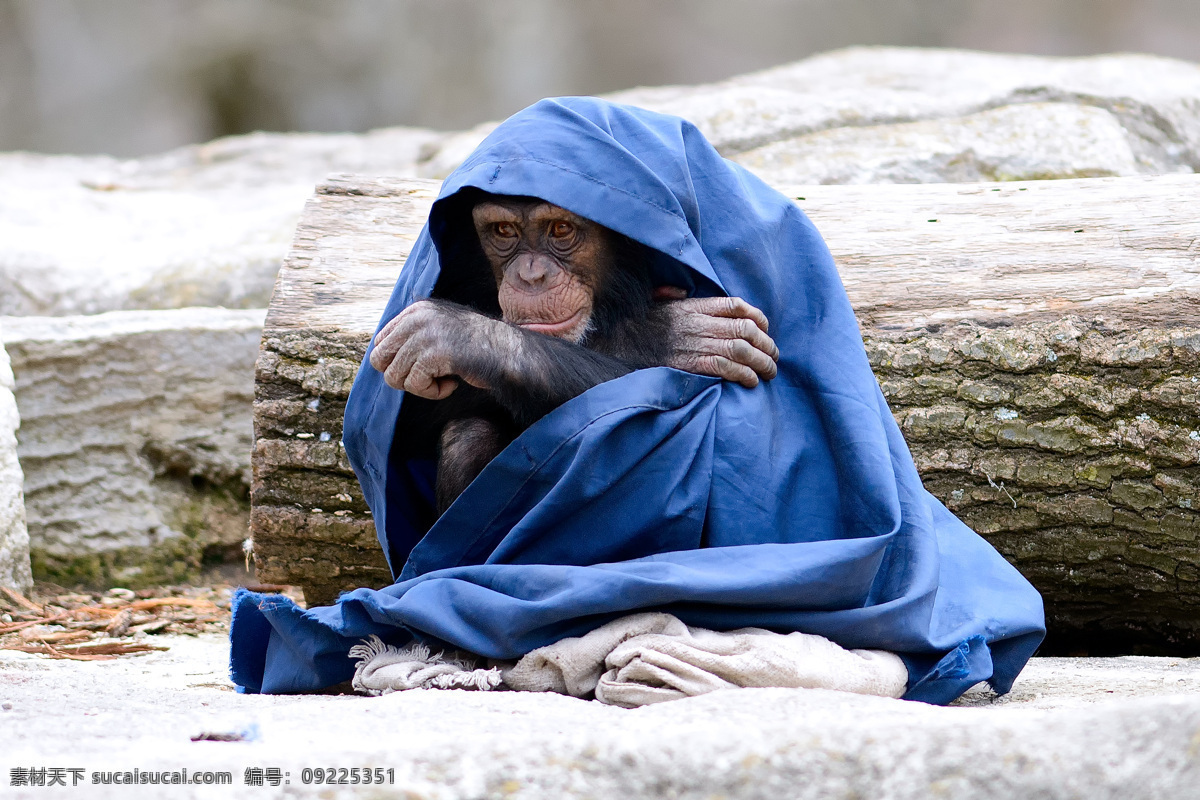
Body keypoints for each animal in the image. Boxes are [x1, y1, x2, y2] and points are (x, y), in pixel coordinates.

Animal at [367, 194, 777, 520]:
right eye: (503, 230)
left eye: (560, 229)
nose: (531, 275)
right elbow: (401, 420)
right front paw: (669, 335)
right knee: (468, 436)